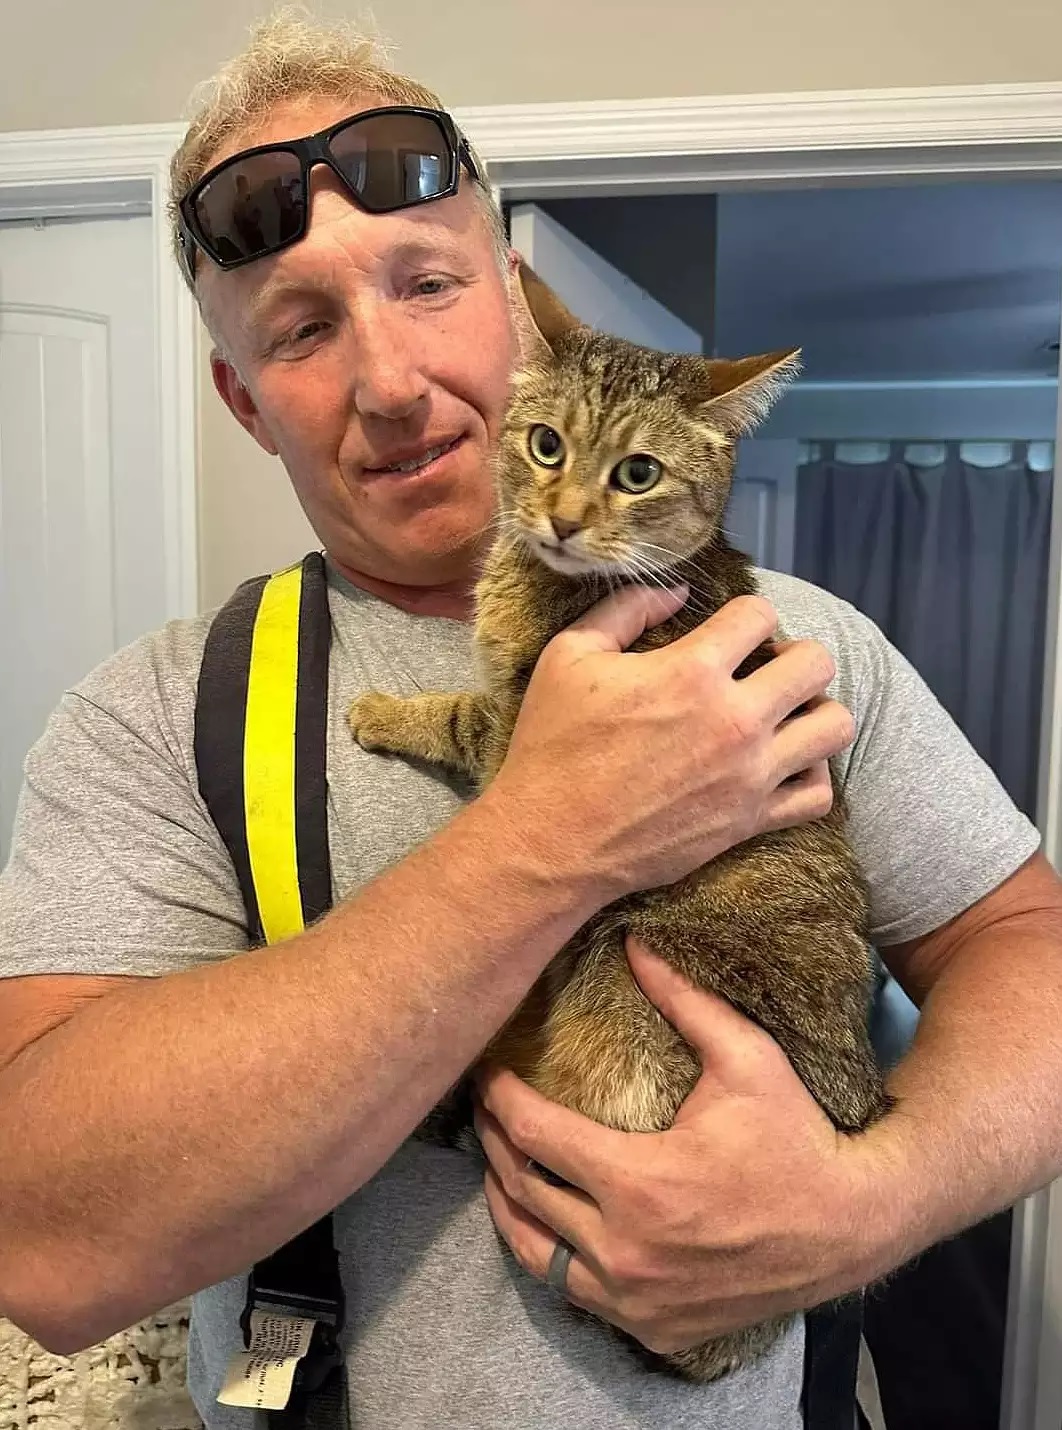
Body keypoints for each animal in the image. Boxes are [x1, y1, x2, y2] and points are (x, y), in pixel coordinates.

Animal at [348, 263, 886, 1378]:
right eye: (547, 445)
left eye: (638, 472)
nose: (559, 516)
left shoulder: (515, 729)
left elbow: (458, 713)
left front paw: (383, 712)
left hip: (622, 998)